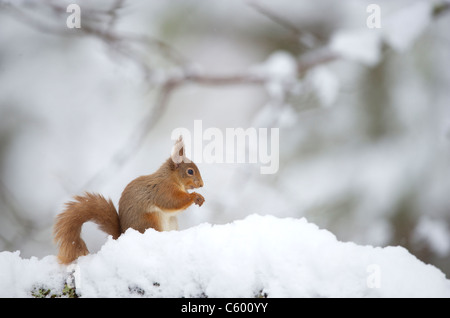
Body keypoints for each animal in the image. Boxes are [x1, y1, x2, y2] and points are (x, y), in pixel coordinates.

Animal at [53, 136, 206, 264]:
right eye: (190, 171)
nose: (201, 185)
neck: (172, 178)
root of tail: (122, 236)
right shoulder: (163, 189)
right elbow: (172, 202)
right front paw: (194, 196)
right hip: (150, 222)